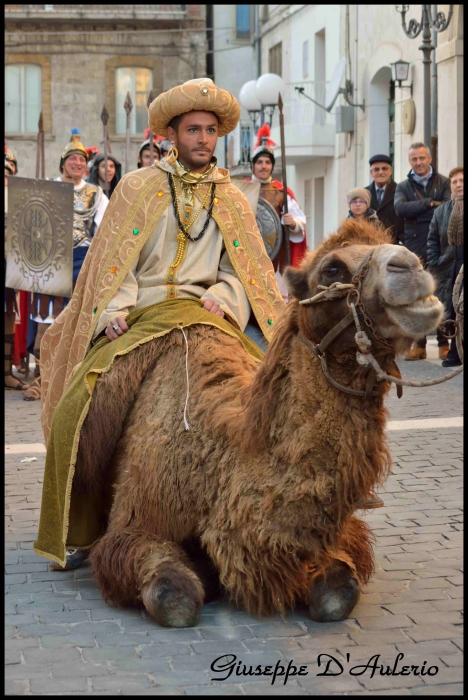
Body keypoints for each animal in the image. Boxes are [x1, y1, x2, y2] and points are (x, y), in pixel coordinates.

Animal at [71, 220, 444, 628]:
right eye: (332, 268)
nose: (411, 267)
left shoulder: (336, 536)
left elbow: (337, 593)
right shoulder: (136, 519)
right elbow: (174, 596)